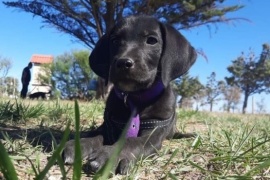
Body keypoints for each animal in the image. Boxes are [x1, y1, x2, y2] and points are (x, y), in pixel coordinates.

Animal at [62, 15, 196, 174]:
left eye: (152, 40)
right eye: (115, 41)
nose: (123, 63)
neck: (135, 99)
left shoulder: (154, 132)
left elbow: (131, 141)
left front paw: (109, 155)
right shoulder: (109, 125)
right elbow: (96, 134)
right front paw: (79, 144)